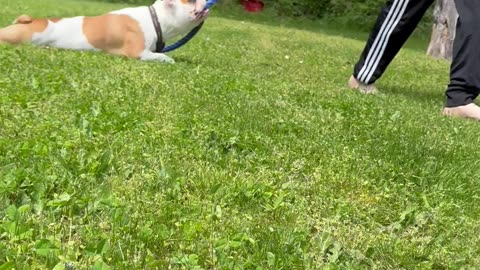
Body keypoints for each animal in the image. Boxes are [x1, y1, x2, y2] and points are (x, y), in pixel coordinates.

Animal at [0, 0, 210, 63]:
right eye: (190, 0)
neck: (156, 18)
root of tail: (29, 21)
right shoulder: (138, 53)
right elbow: (163, 57)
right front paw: (169, 60)